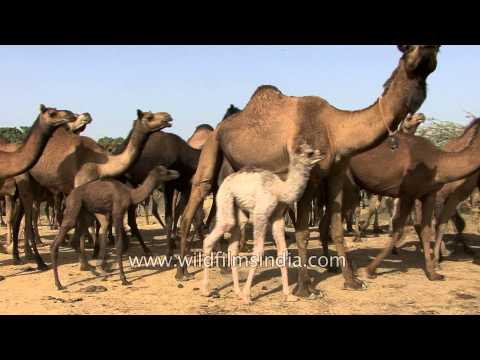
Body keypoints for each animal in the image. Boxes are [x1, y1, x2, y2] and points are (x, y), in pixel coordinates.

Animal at [10, 109, 172, 270]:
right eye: (149, 117)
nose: (168, 117)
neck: (102, 165)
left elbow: (99, 222)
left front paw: (96, 256)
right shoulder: (81, 185)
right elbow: (85, 222)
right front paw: (85, 262)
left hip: (35, 185)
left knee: (19, 217)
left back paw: (19, 255)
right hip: (25, 179)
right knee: (29, 217)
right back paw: (38, 261)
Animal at [202, 143, 322, 304]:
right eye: (309, 153)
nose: (321, 154)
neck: (279, 190)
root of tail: (226, 181)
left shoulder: (278, 217)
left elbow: (283, 252)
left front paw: (288, 295)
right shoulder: (261, 215)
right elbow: (258, 251)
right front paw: (247, 296)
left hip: (238, 210)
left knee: (233, 246)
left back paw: (237, 292)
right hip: (224, 198)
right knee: (212, 236)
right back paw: (206, 290)